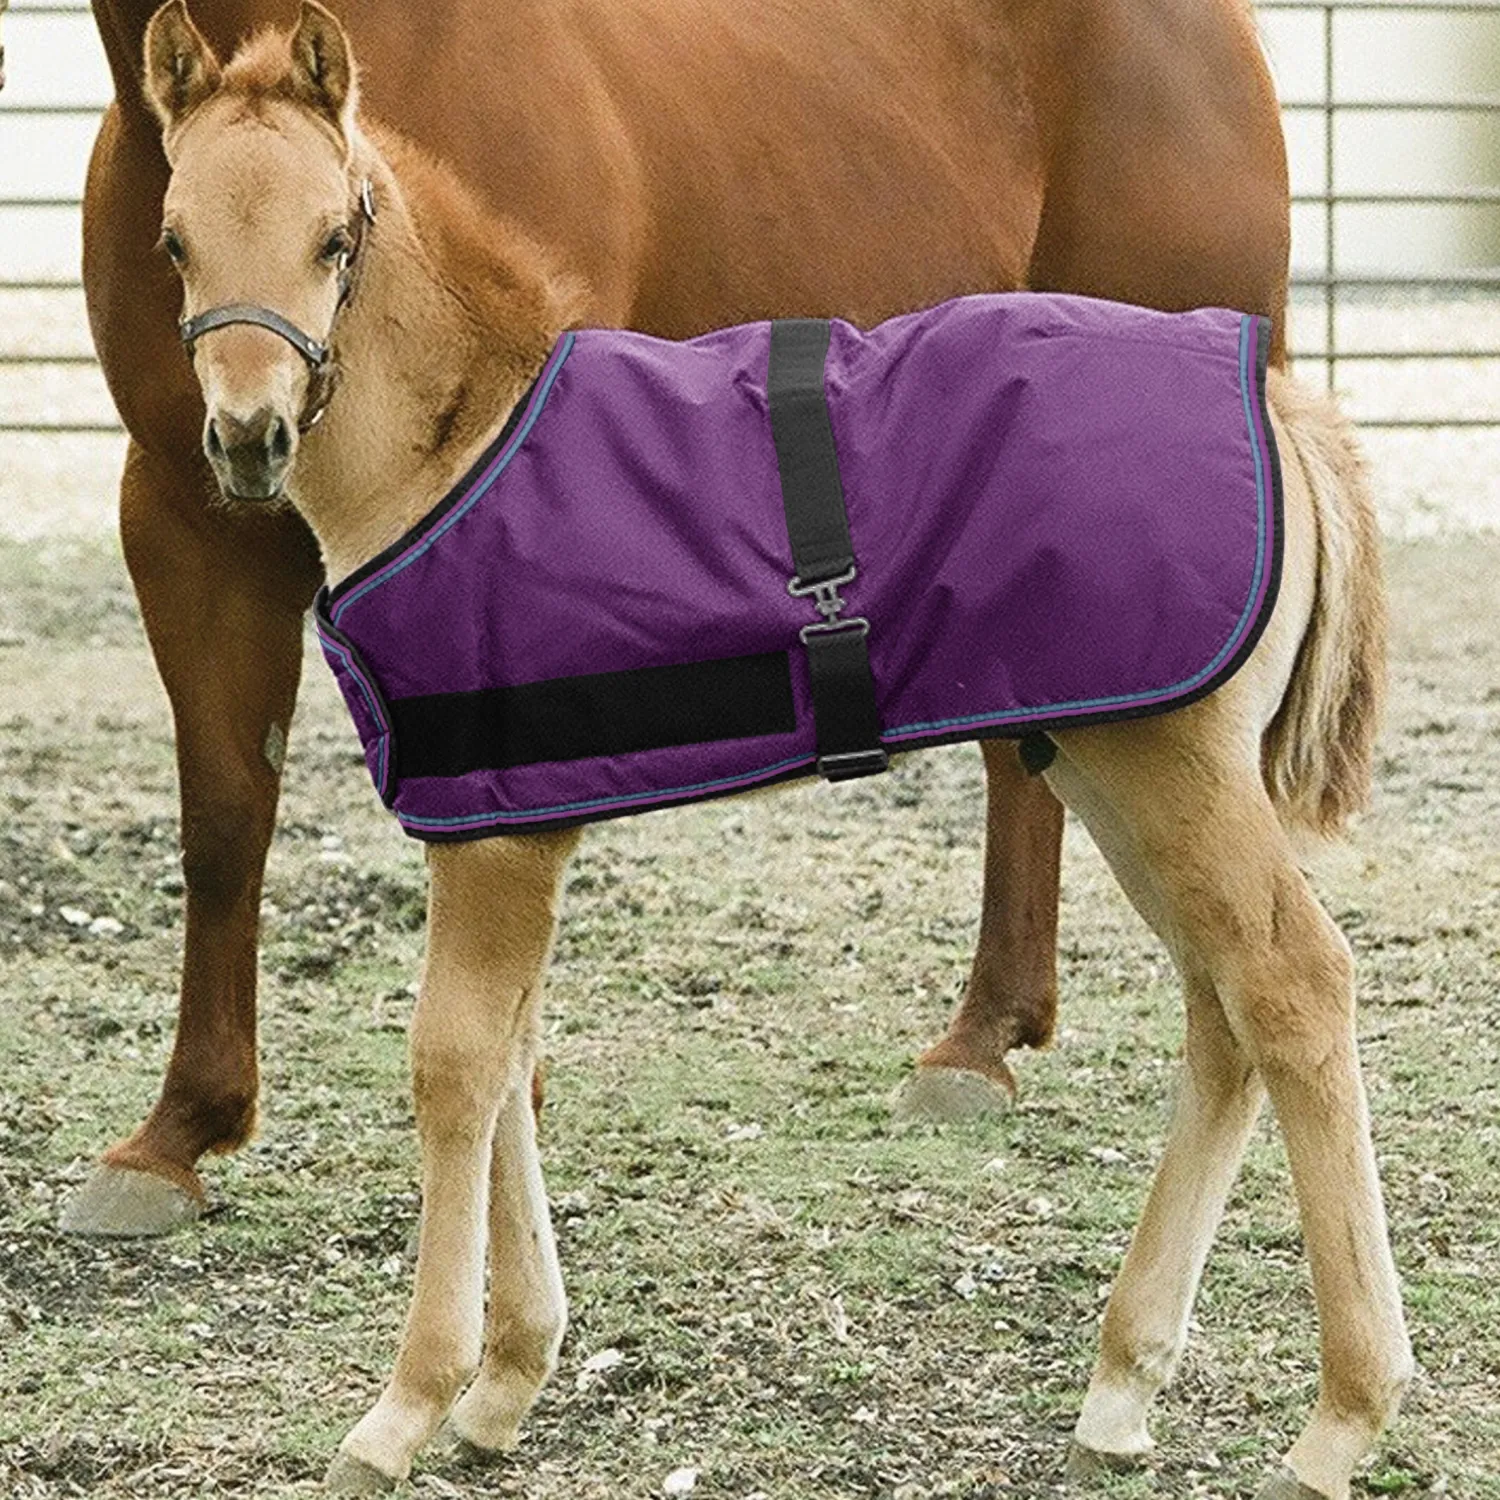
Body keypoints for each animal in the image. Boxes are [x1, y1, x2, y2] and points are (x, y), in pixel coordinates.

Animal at [142, 7, 1410, 1497]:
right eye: (173, 239)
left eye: (335, 237)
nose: (247, 438)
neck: (459, 445)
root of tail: (1278, 402)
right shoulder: (500, 822)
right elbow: (512, 1058)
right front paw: (507, 1383)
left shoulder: (501, 837)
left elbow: (455, 1065)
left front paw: (407, 1406)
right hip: (1117, 764)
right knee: (1225, 1007)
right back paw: (1123, 1382)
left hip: (1175, 768)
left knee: (1295, 985)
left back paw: (1341, 1418)